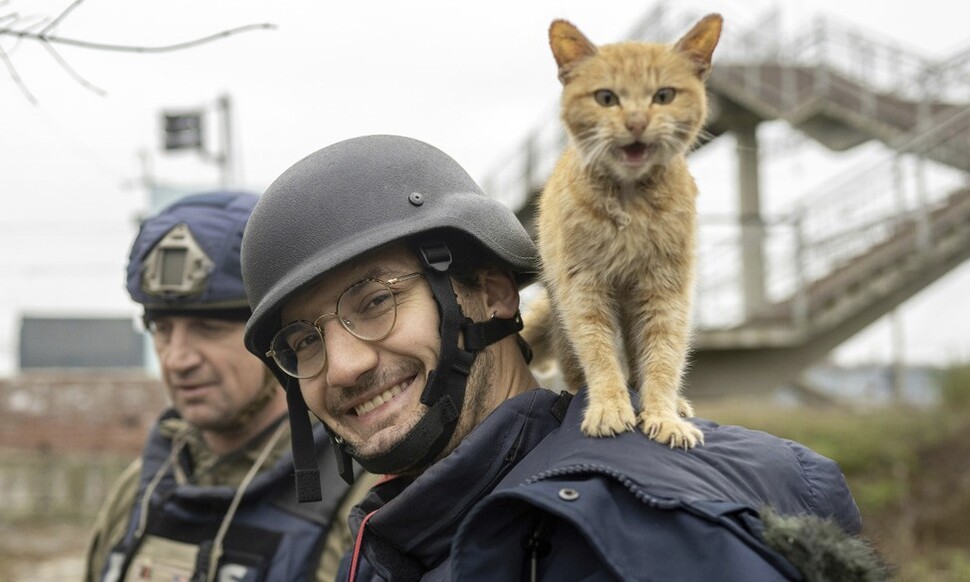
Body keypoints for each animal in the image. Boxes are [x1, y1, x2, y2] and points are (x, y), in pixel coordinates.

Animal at [524, 14, 724, 452]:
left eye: (663, 96)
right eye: (606, 98)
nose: (636, 122)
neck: (630, 205)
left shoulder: (666, 291)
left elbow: (664, 357)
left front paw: (664, 415)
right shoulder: (584, 289)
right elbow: (599, 353)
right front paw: (609, 407)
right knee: (578, 367)